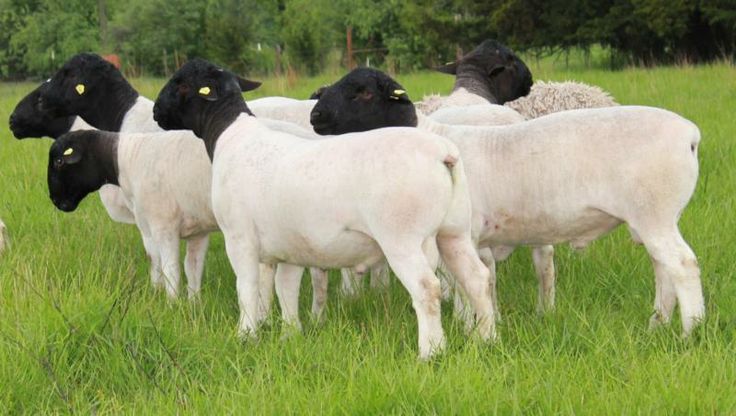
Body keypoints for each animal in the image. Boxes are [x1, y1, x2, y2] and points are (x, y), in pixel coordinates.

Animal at [152, 57, 498, 358]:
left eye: (181, 83)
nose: (155, 111)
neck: (229, 135)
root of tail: (442, 154)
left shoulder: (239, 238)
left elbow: (247, 289)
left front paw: (246, 336)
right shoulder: (289, 246)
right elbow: (285, 290)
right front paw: (290, 334)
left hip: (402, 237)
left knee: (427, 289)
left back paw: (430, 353)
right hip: (454, 231)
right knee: (478, 279)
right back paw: (486, 339)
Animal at [308, 67, 704, 334]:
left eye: (362, 92)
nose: (315, 116)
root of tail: (690, 134)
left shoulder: (464, 235)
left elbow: (466, 285)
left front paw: (470, 329)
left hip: (654, 213)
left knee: (683, 265)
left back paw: (690, 331)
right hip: (656, 218)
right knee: (664, 268)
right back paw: (658, 324)